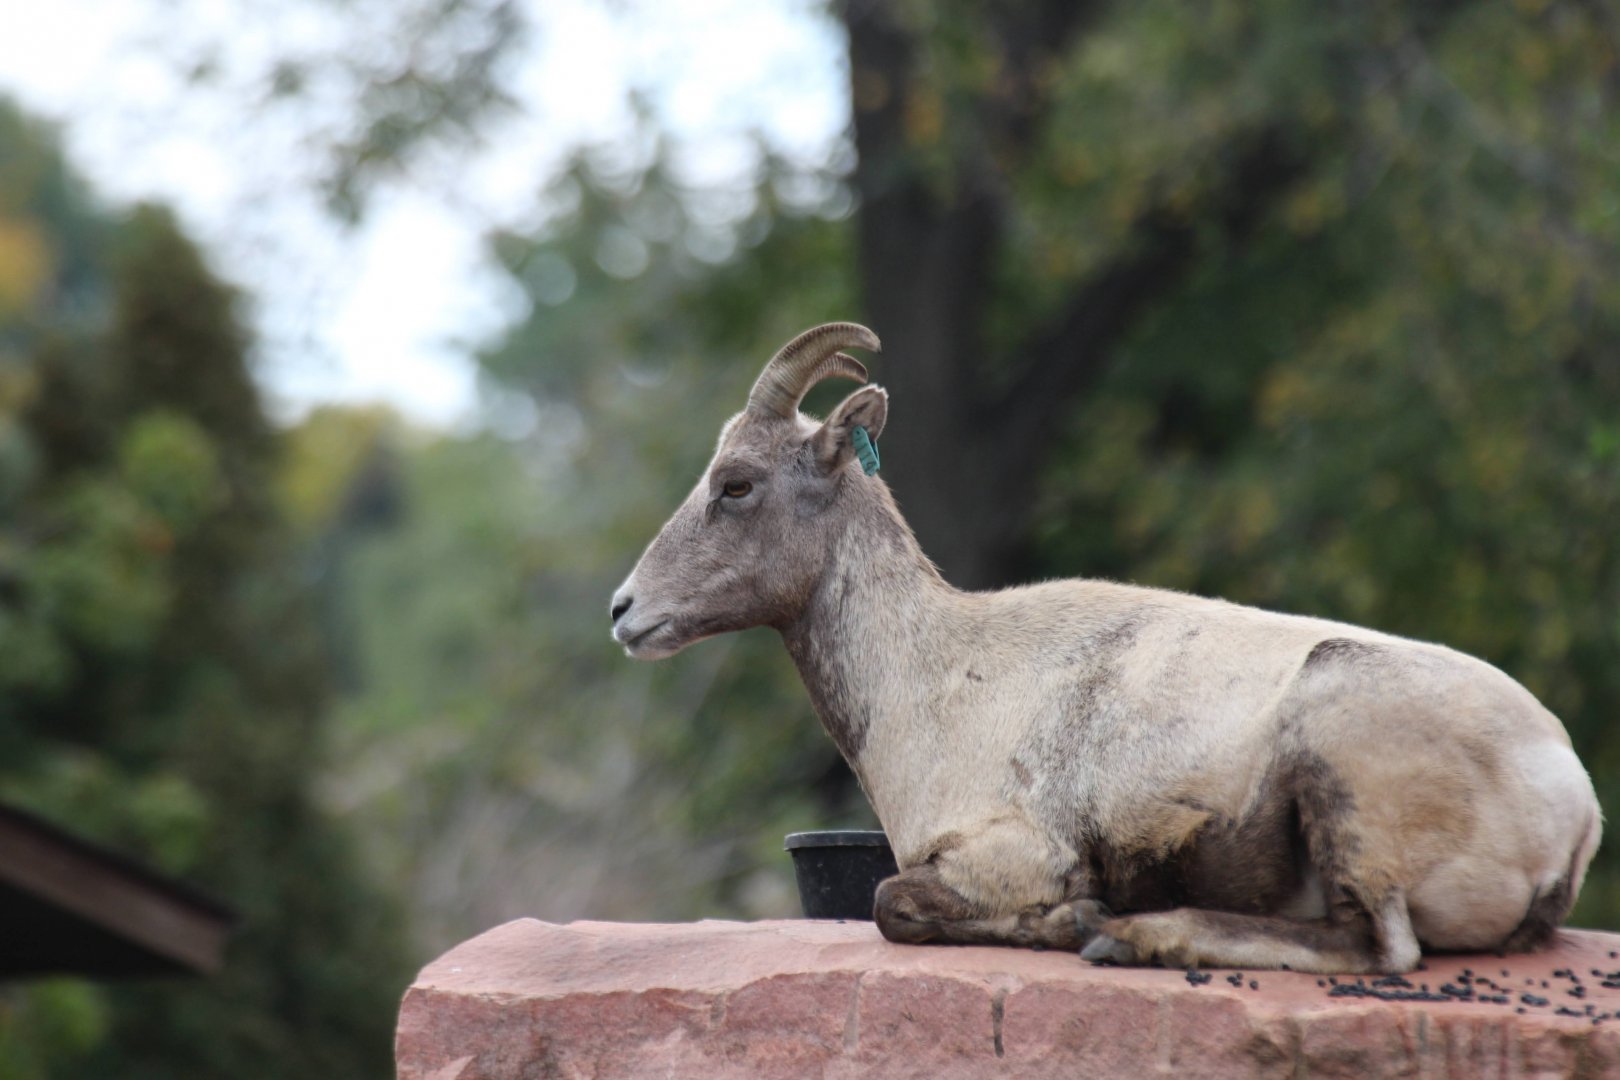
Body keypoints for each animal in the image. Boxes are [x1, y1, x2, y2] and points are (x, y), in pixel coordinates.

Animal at [608, 322, 1602, 973]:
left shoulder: (1010, 856)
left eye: (736, 484)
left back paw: (1124, 936)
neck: (934, 678)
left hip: (1347, 768)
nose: (625, 611)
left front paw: (1076, 915)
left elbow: (896, 906)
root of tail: (1573, 806)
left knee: (1378, 948)